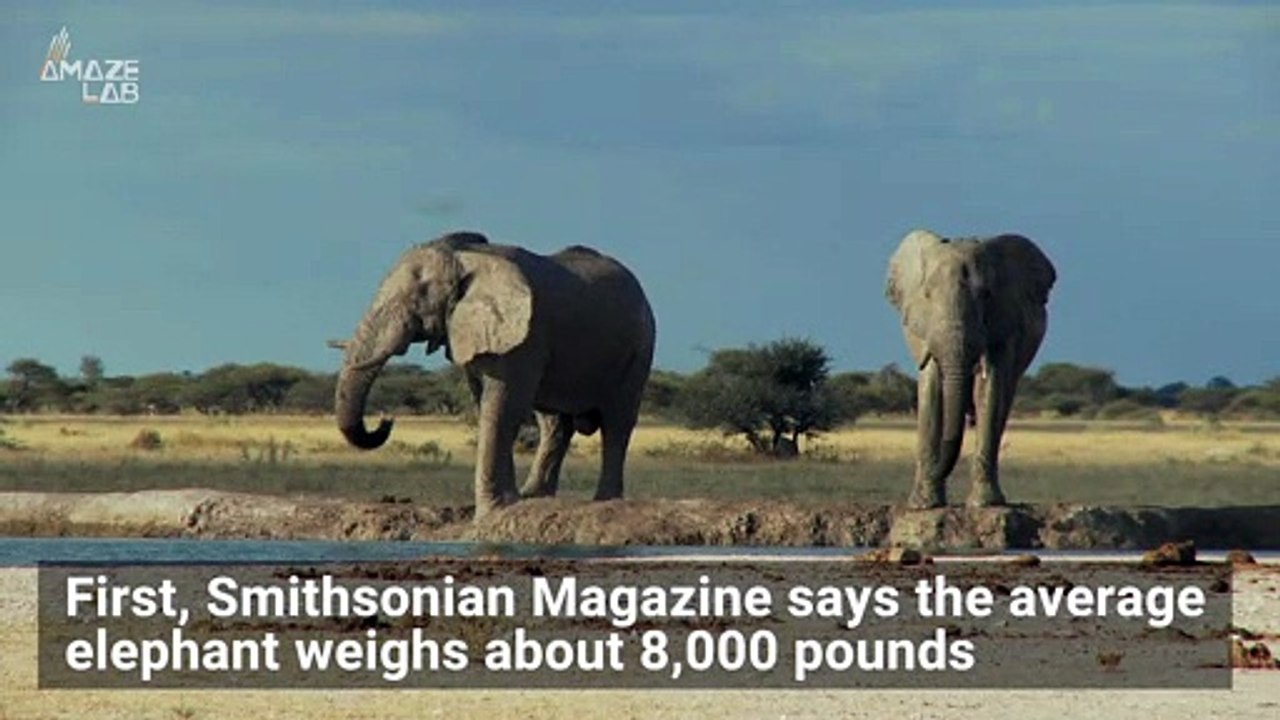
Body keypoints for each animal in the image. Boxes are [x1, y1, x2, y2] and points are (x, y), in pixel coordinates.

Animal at [334, 231, 656, 518]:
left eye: (419, 294)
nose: (387, 418)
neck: (468, 258)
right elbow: (490, 407)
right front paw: (509, 504)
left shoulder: (526, 336)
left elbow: (502, 407)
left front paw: (492, 511)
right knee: (554, 423)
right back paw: (534, 497)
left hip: (640, 348)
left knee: (617, 422)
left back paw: (604, 501)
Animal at [885, 229, 1056, 509]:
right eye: (927, 295)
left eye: (986, 295)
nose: (934, 472)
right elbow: (931, 390)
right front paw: (923, 505)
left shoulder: (1004, 324)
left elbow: (989, 388)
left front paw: (984, 504)